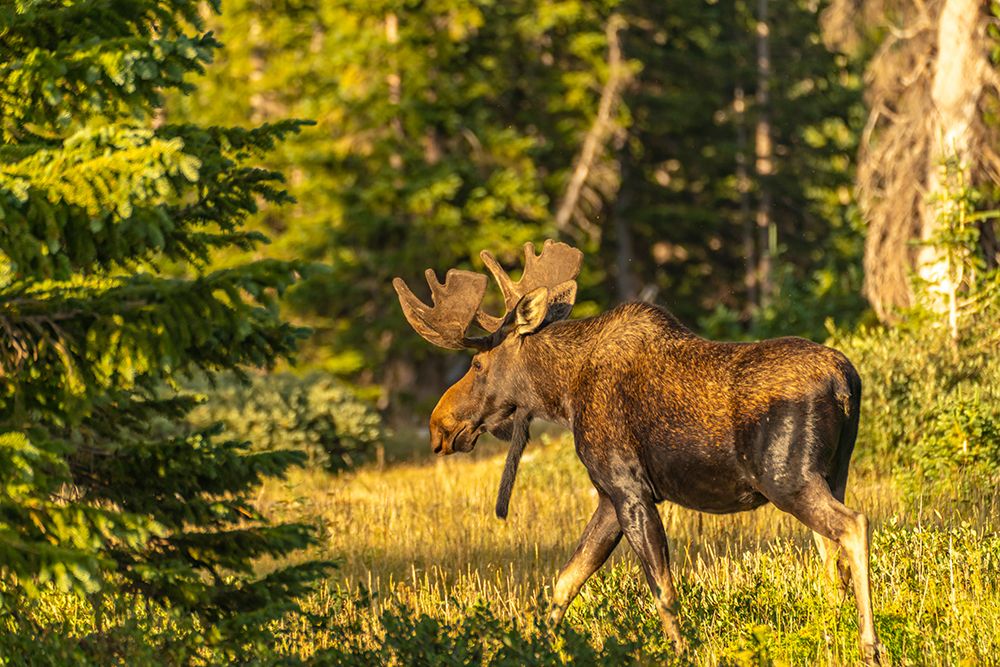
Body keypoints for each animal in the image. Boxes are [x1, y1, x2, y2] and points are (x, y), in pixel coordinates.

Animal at [393, 239, 886, 665]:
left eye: (477, 364)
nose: (439, 425)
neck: (564, 393)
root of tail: (846, 380)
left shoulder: (629, 488)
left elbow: (663, 592)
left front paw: (682, 653)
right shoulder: (608, 497)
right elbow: (565, 581)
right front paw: (537, 647)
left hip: (787, 478)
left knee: (853, 526)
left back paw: (869, 645)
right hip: (832, 472)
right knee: (829, 554)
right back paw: (831, 634)